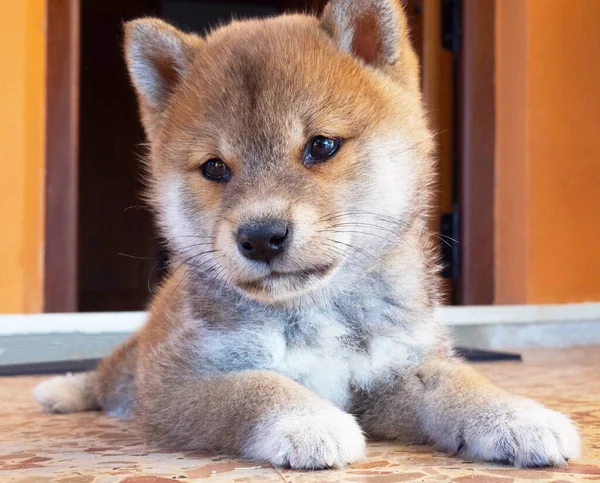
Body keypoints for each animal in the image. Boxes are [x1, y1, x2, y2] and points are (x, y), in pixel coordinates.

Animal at [34, 0, 580, 470]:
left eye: (321, 146)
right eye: (214, 167)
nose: (260, 236)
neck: (317, 310)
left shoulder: (394, 369)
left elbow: (459, 382)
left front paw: (515, 415)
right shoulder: (178, 385)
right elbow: (258, 387)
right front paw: (309, 420)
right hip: (138, 361)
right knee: (107, 377)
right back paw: (62, 390)